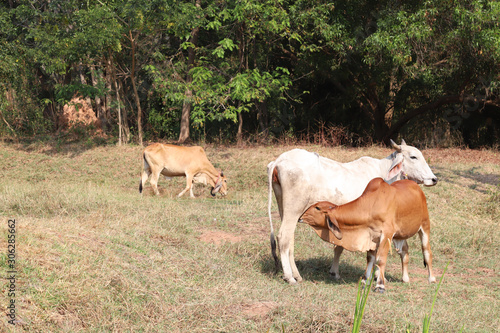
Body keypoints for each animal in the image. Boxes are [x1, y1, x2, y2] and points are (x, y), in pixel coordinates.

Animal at [298, 176, 436, 290]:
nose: (300, 217)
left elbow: (380, 259)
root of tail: (416, 186)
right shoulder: (372, 237)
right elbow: (370, 258)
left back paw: (432, 279)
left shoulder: (386, 234)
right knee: (404, 253)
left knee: (427, 252)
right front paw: (365, 281)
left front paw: (380, 285)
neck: (371, 206)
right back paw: (405, 278)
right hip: (400, 235)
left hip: (425, 226)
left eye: (317, 208)